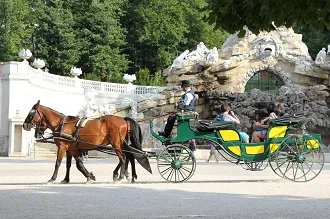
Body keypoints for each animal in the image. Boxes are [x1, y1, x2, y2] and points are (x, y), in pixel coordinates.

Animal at [22, 100, 151, 183]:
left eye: (31, 113)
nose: (24, 125)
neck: (62, 124)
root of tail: (124, 119)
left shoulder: (63, 147)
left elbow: (58, 163)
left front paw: (52, 179)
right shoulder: (71, 148)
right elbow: (74, 164)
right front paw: (73, 178)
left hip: (116, 144)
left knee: (123, 158)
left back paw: (120, 177)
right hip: (121, 144)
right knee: (129, 156)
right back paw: (127, 176)